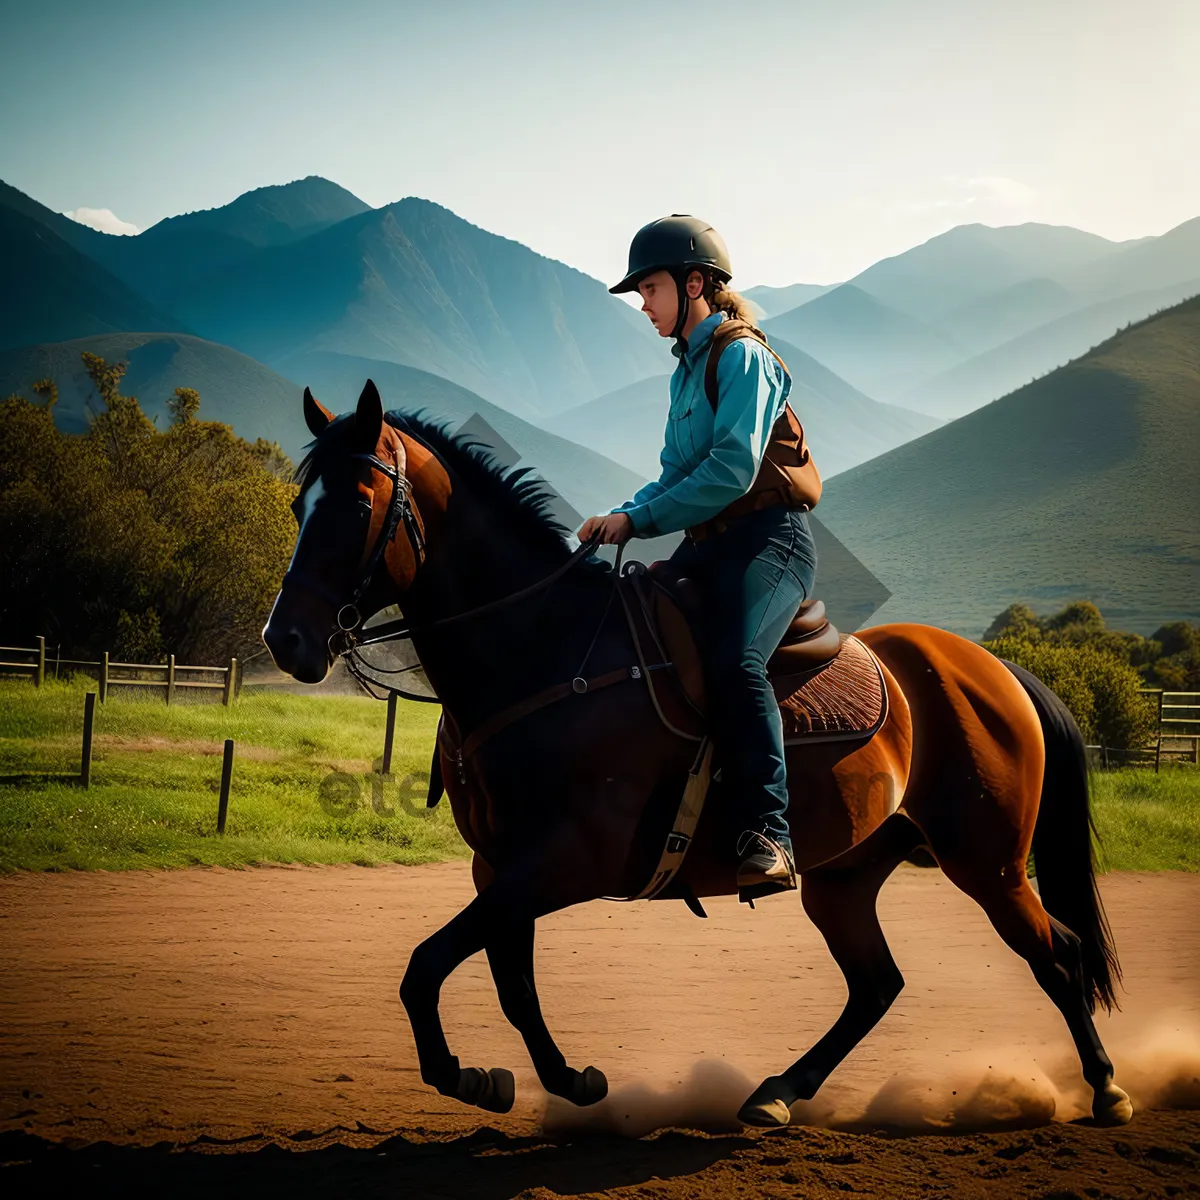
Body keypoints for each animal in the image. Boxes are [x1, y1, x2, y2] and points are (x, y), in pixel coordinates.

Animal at [262, 379, 1132, 1128]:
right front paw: (555, 1081)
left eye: (358, 505)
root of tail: (995, 670)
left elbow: (426, 966)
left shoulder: (563, 864)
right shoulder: (501, 868)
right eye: (302, 504)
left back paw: (1107, 1089)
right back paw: (778, 1092)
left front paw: (466, 1074)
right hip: (847, 877)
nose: (287, 639)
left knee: (1058, 955)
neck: (545, 647)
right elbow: (511, 985)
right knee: (877, 984)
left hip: (988, 864)